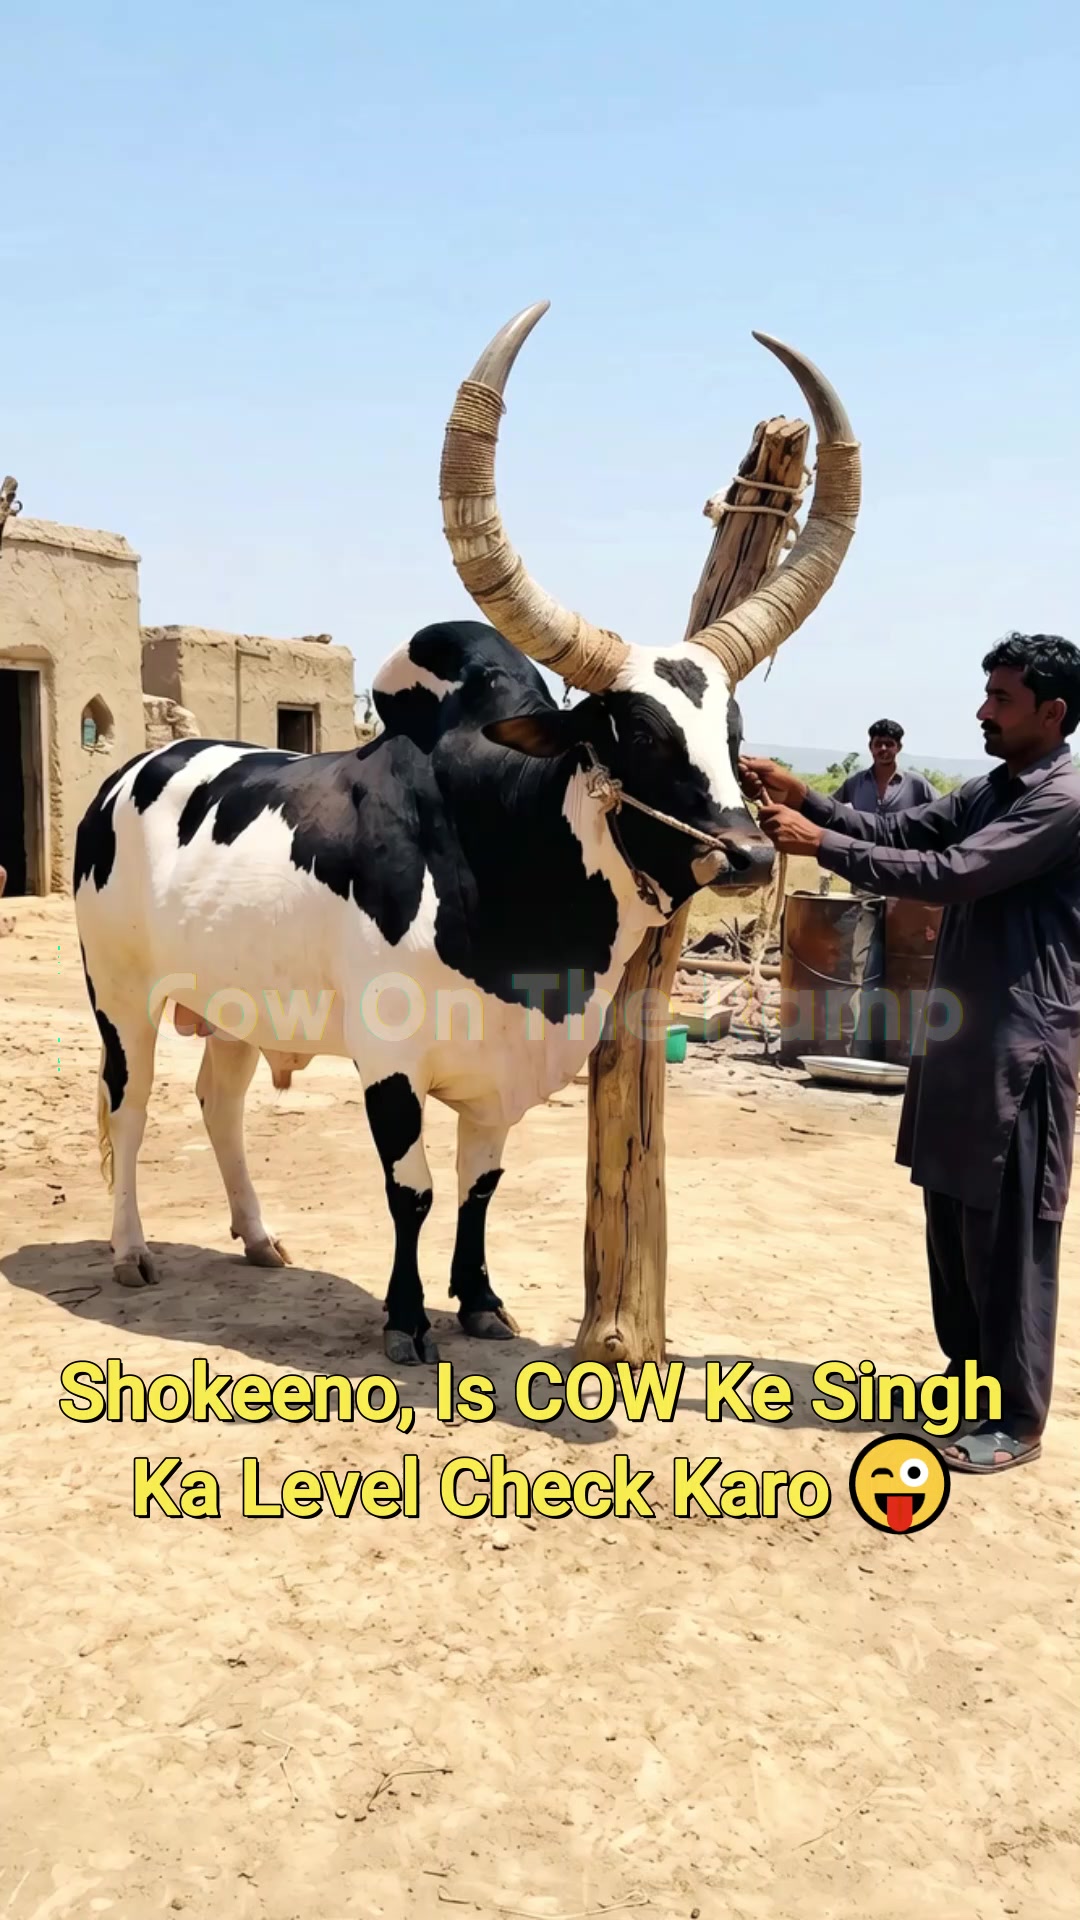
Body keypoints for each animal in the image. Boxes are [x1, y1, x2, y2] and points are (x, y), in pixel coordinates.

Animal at [73, 304, 860, 1363]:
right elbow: (411, 1191)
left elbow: (481, 1186)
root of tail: (127, 774)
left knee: (220, 1103)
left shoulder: (502, 1076)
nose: (748, 854)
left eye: (731, 734)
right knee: (128, 1106)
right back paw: (129, 1251)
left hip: (238, 1004)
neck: (508, 873)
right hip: (121, 995)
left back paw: (259, 1236)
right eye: (631, 730)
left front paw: (480, 1300)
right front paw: (408, 1320)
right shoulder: (390, 1064)